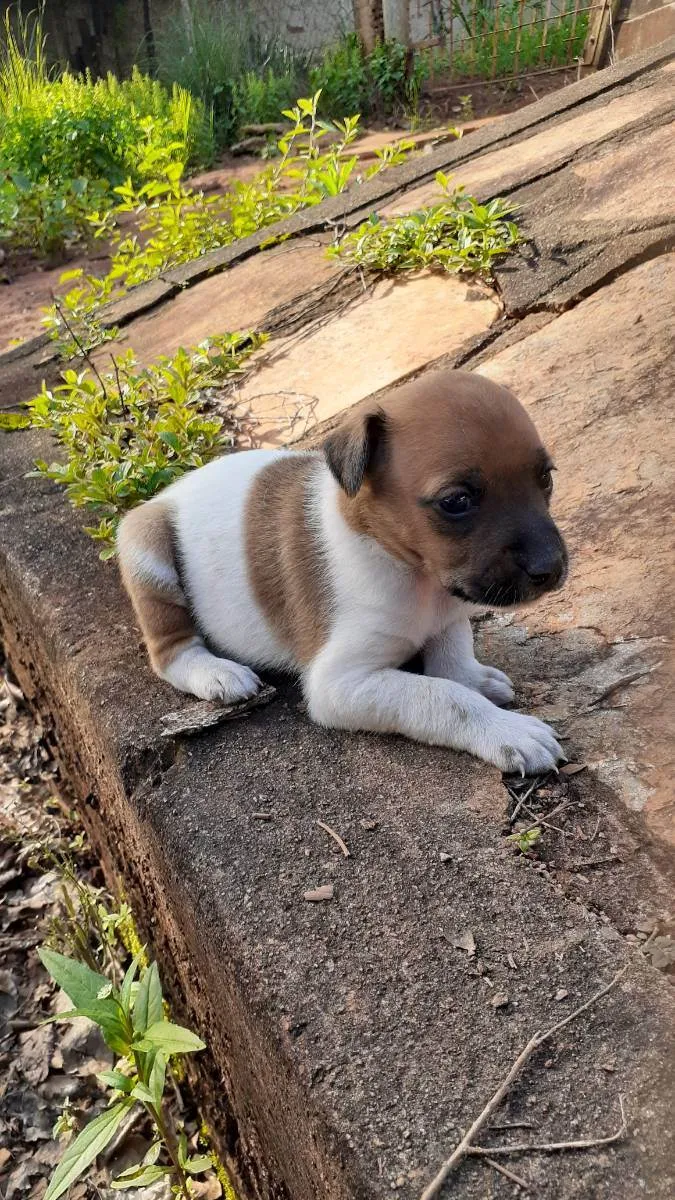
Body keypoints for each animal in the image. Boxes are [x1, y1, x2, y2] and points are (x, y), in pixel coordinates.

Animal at [118, 369, 564, 772]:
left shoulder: (448, 610)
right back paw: (216, 673)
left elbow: (453, 656)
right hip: (144, 548)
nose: (552, 567)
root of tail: (168, 492)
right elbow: (444, 698)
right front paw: (508, 731)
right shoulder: (340, 684)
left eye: (545, 477)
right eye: (456, 501)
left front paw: (475, 678)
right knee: (170, 651)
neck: (406, 569)